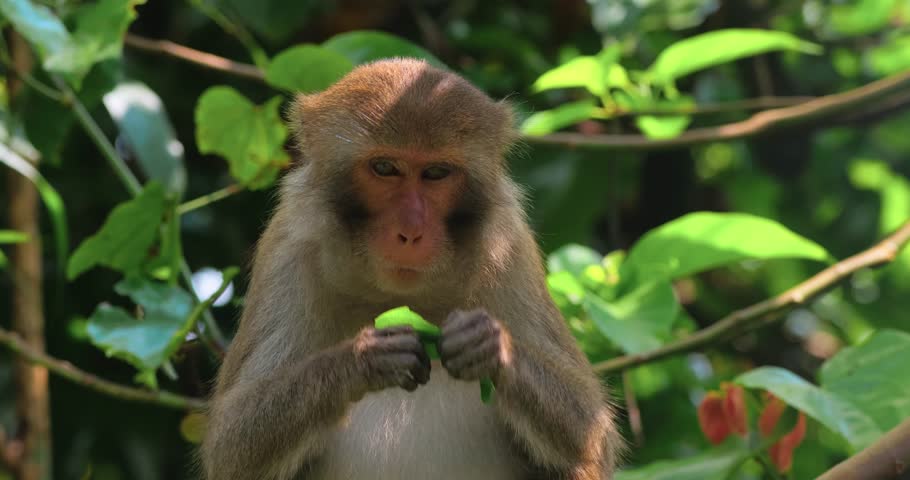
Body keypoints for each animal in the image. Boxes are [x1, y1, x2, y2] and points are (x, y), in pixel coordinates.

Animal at [200, 58, 622, 480]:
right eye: (385, 167)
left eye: (435, 173)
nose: (411, 232)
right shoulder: (287, 245)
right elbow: (232, 446)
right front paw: (366, 358)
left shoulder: (510, 247)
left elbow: (592, 438)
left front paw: (488, 345)